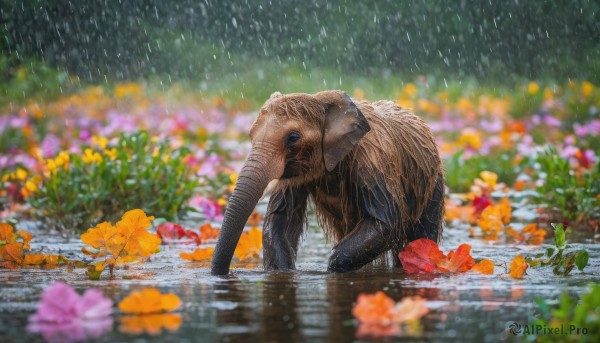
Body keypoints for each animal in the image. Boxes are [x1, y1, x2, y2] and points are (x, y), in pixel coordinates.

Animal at [210, 90, 440, 276]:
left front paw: (330, 271)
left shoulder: (372, 160)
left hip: (433, 184)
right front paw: (283, 272)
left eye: (293, 137)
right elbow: (279, 221)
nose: (224, 273)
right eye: (250, 135)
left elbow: (384, 222)